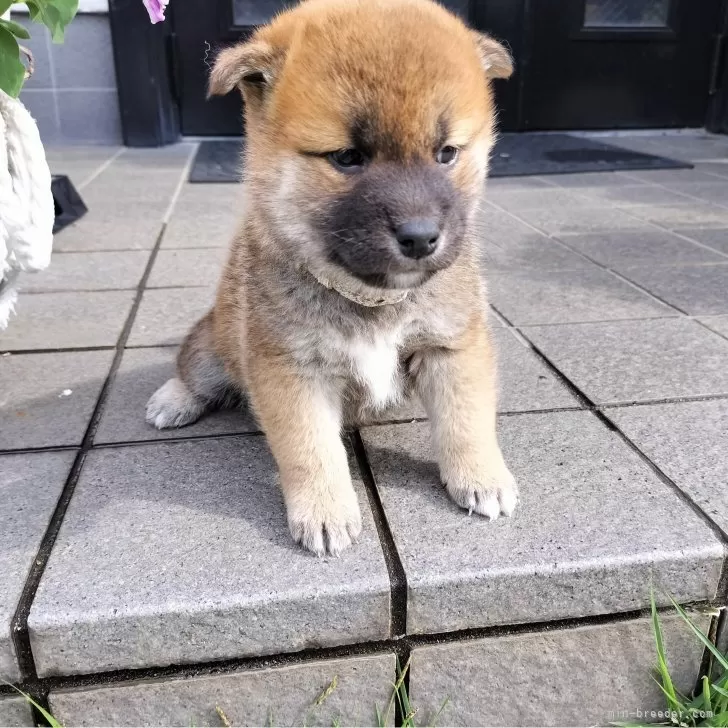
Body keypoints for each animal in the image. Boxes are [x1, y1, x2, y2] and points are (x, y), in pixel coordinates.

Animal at [145, 0, 516, 552]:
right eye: (346, 157)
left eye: (447, 153)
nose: (421, 237)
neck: (370, 299)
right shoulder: (291, 369)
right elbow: (311, 450)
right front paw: (324, 511)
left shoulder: (451, 346)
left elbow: (465, 420)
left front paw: (481, 476)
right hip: (216, 344)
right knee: (196, 370)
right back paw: (173, 399)